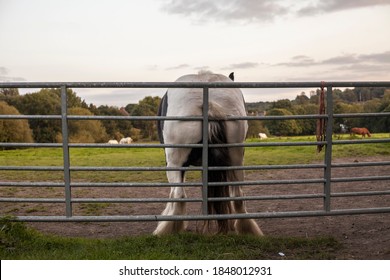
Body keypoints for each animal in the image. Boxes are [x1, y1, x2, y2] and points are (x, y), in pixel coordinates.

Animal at [155, 72, 262, 236]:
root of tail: (210, 104)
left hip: (175, 162)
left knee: (178, 195)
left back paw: (167, 229)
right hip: (236, 159)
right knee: (238, 195)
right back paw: (246, 228)